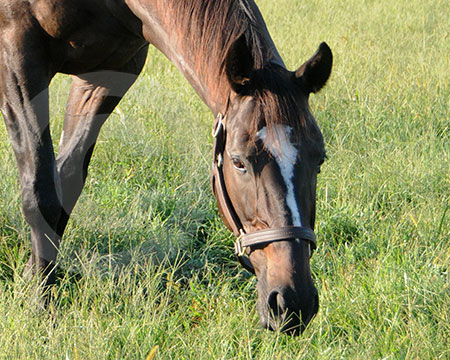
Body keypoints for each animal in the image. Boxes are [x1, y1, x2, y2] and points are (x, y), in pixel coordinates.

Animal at [0, 0, 330, 334]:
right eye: (239, 162)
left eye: (320, 160)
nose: (293, 301)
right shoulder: (18, 57)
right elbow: (41, 193)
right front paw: (40, 301)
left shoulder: (110, 73)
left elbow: (66, 180)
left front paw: (33, 277)